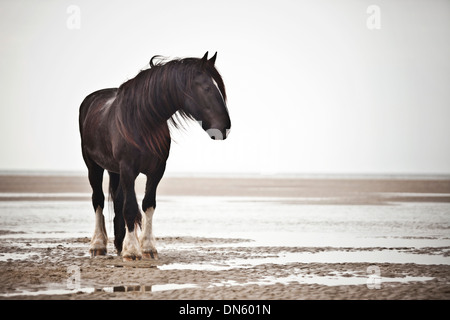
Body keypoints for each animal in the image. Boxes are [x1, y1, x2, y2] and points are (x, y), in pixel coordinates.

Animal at [78, 52, 230, 262]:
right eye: (207, 88)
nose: (225, 126)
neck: (142, 122)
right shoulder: (128, 168)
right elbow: (130, 207)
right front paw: (132, 251)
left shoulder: (156, 170)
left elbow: (147, 204)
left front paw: (148, 247)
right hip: (93, 166)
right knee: (98, 200)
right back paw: (98, 245)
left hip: (114, 170)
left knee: (117, 200)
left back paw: (119, 244)